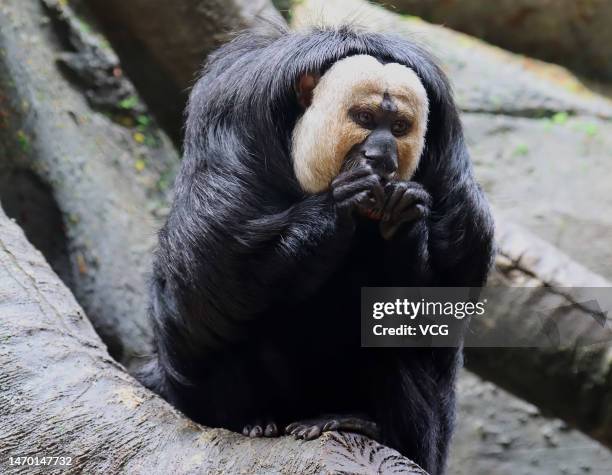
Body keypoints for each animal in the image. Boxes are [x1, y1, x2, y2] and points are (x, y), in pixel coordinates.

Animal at [141, 26, 494, 475]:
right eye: (364, 119)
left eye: (398, 127)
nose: (381, 156)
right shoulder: (232, 127)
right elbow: (209, 280)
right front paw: (339, 205)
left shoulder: (450, 174)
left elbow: (439, 314)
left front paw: (404, 215)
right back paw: (251, 421)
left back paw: (354, 422)